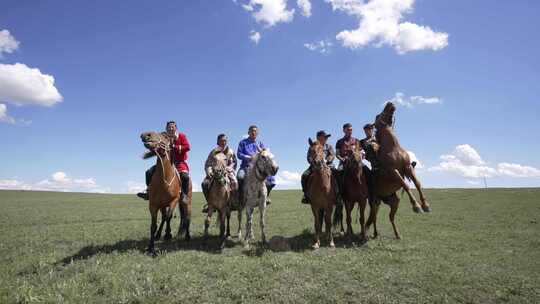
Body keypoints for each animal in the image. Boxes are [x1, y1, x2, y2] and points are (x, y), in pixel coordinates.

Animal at [364, 102, 432, 240]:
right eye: (379, 114)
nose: (390, 103)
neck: (394, 149)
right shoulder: (393, 171)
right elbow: (405, 184)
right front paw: (416, 206)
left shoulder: (408, 167)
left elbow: (417, 184)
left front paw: (425, 205)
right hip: (374, 202)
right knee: (374, 218)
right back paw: (375, 234)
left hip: (393, 203)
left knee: (389, 218)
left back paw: (397, 234)